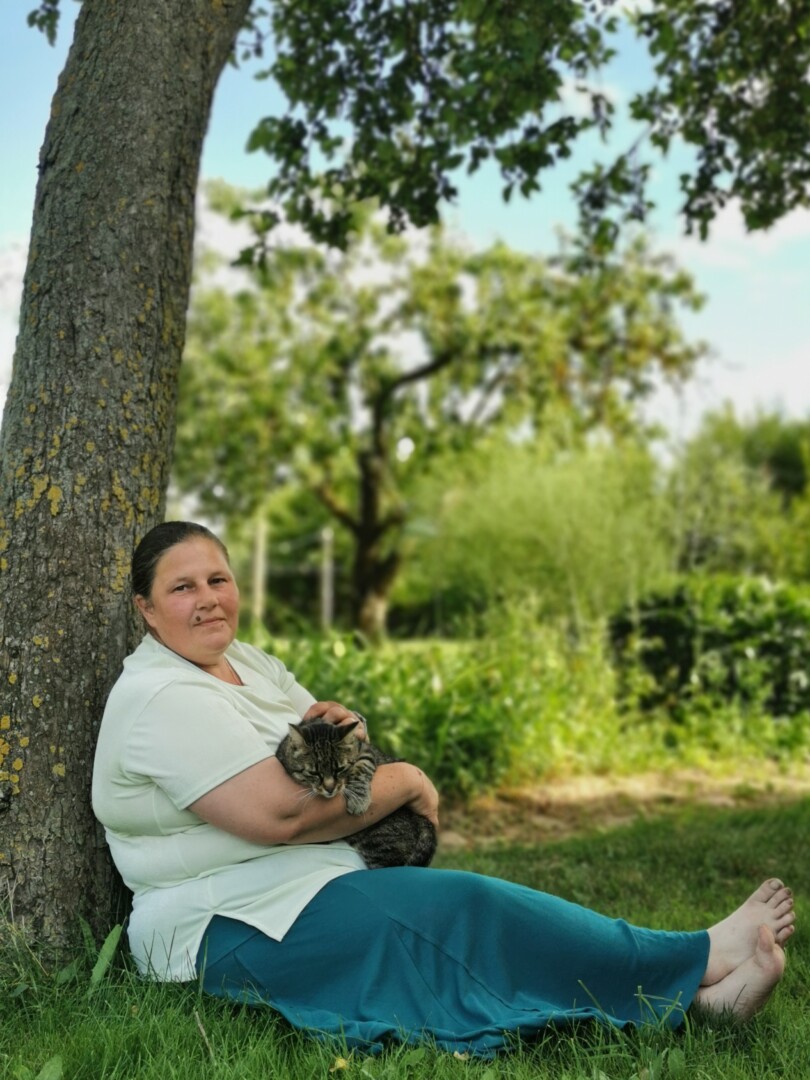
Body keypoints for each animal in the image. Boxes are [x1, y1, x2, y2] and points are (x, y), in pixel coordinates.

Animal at [275, 718, 437, 869]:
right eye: (314, 773)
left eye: (340, 769)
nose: (330, 788)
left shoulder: (364, 749)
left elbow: (361, 768)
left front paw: (358, 799)